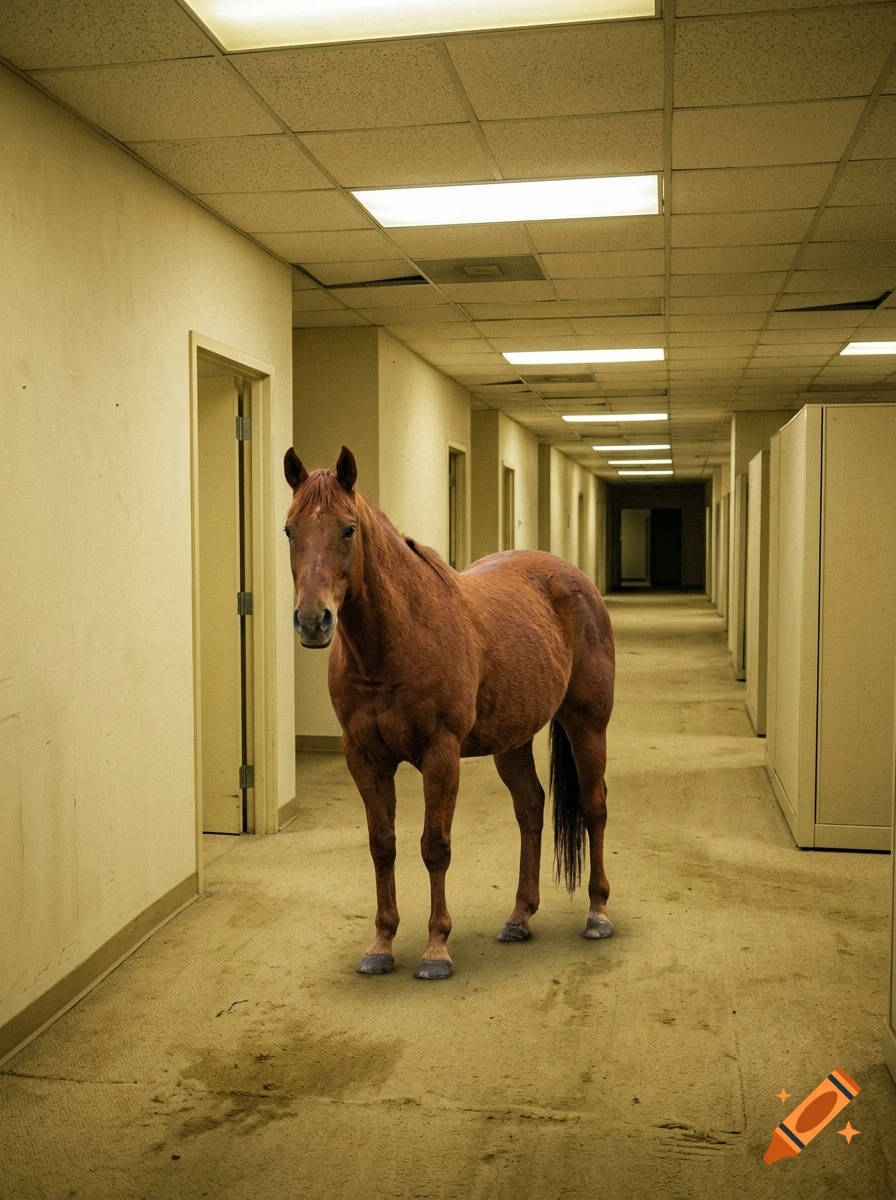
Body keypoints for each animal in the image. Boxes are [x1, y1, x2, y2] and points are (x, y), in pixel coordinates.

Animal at [284, 446, 615, 980]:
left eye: (348, 529)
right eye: (290, 530)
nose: (313, 621)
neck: (394, 642)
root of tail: (573, 579)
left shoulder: (440, 756)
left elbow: (434, 846)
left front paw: (436, 949)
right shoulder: (365, 758)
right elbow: (383, 845)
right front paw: (381, 944)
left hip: (587, 725)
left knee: (594, 806)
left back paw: (598, 913)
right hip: (512, 741)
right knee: (530, 808)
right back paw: (519, 917)